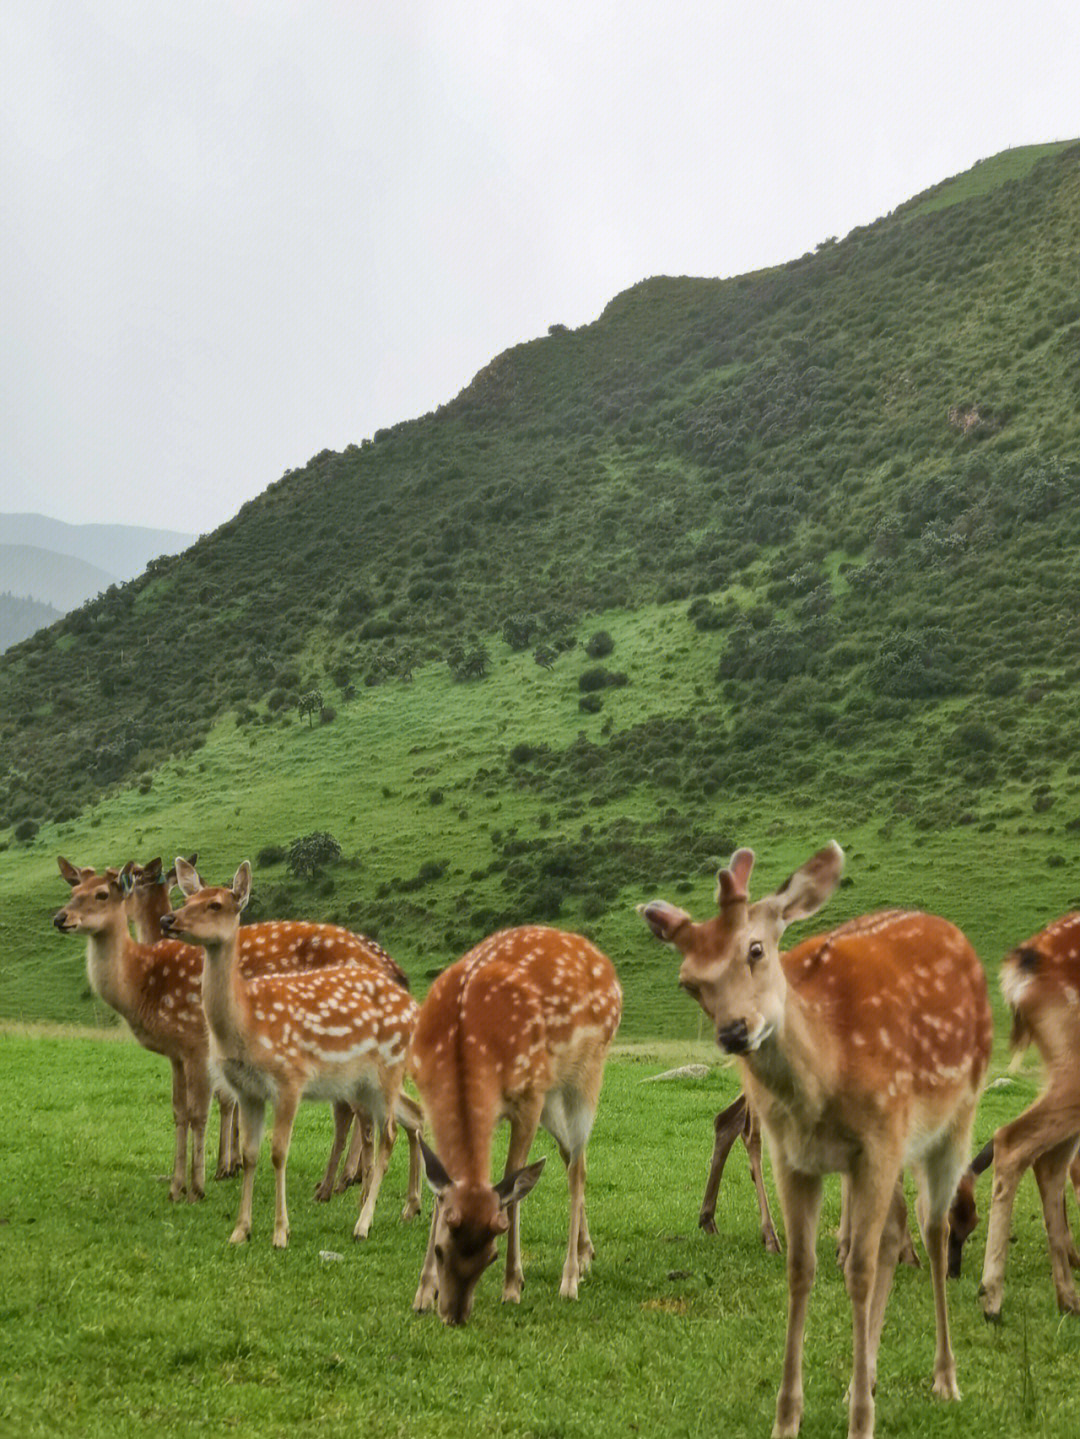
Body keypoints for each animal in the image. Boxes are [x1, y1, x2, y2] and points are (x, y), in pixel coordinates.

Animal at [408, 920, 624, 1323]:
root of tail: (602, 959)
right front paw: (423, 1292)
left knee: (578, 1167)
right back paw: (587, 1253)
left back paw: (569, 1277)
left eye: (490, 1256)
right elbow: (438, 1189)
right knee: (570, 1155)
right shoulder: (427, 1096)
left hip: (586, 1073)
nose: (455, 1316)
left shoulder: (529, 1099)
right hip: (553, 1099)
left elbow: (514, 1179)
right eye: (442, 1249)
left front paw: (512, 1284)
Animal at [638, 840, 995, 1439]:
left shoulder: (879, 1143)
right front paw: (789, 1418)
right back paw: (864, 1377)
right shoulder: (797, 1159)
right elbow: (801, 1271)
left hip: (956, 1116)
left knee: (931, 1227)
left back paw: (945, 1378)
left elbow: (859, 1270)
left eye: (756, 949)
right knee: (892, 1232)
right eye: (689, 981)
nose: (734, 1031)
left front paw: (861, 1423)